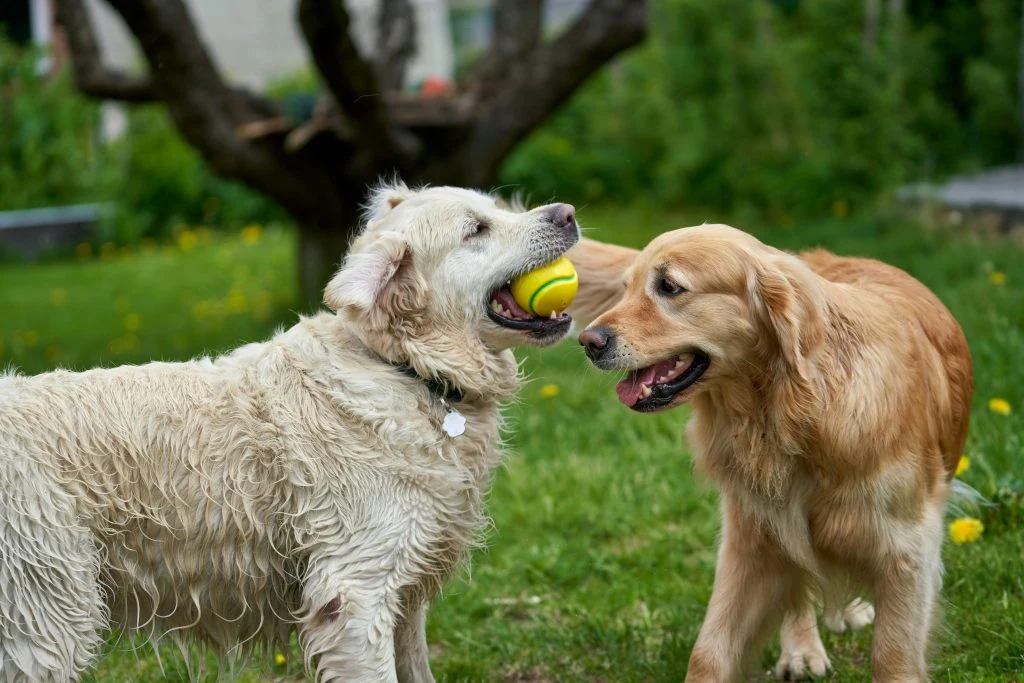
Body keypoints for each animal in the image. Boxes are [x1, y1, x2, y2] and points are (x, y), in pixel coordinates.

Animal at [0, 184, 577, 679]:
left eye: (496, 207)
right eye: (476, 229)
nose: (567, 213)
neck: (408, 370)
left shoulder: (405, 594)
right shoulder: (355, 593)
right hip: (47, 614)